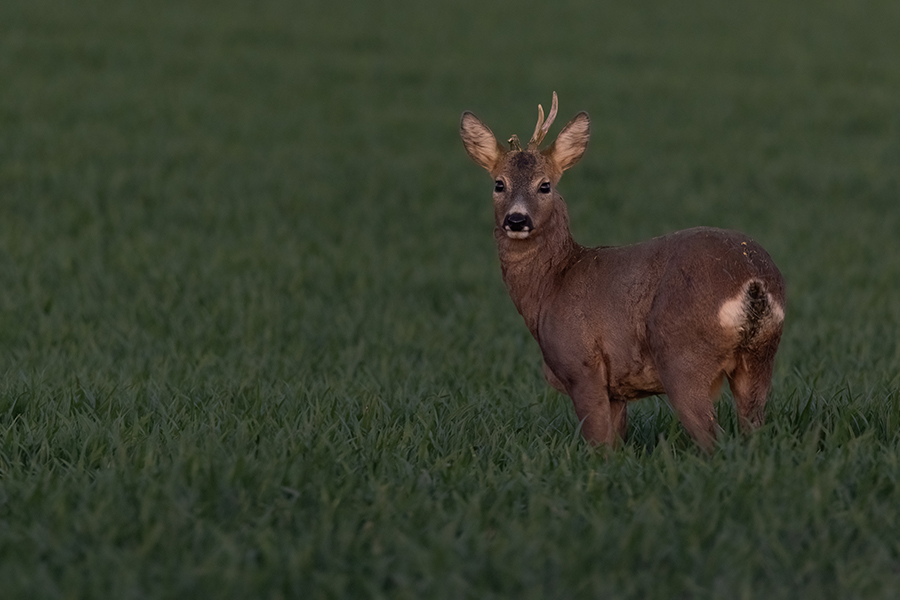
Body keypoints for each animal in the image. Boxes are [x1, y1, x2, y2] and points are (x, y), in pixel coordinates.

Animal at [459, 92, 786, 452]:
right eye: (499, 184)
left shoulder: (582, 366)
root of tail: (753, 280)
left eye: (544, 185)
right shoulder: (616, 388)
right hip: (760, 357)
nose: (517, 220)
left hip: (682, 358)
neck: (552, 285)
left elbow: (598, 446)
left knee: (714, 439)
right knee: (752, 430)